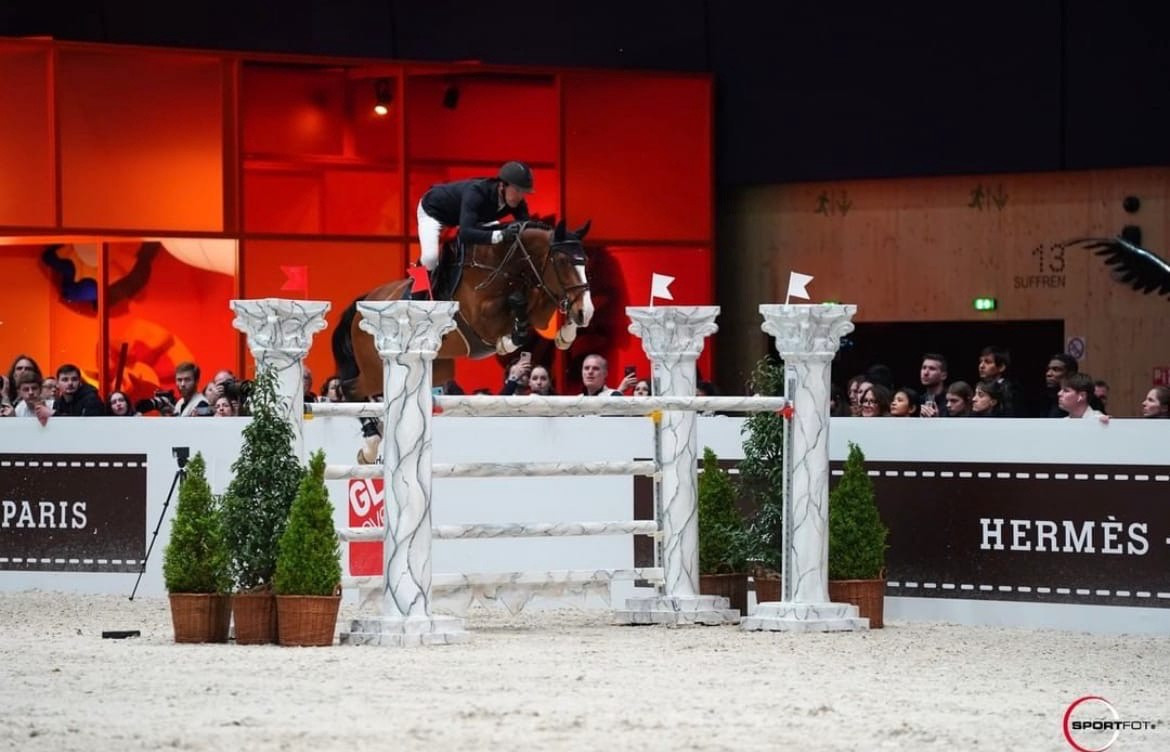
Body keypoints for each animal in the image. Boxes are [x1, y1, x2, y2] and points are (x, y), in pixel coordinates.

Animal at [336, 221, 599, 402]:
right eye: (562, 262)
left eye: (585, 260)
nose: (586, 311)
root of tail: (361, 304)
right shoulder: (481, 320)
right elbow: (514, 313)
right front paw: (508, 342)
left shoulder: (540, 297)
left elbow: (536, 309)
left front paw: (567, 333)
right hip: (376, 368)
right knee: (349, 389)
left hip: (435, 368)